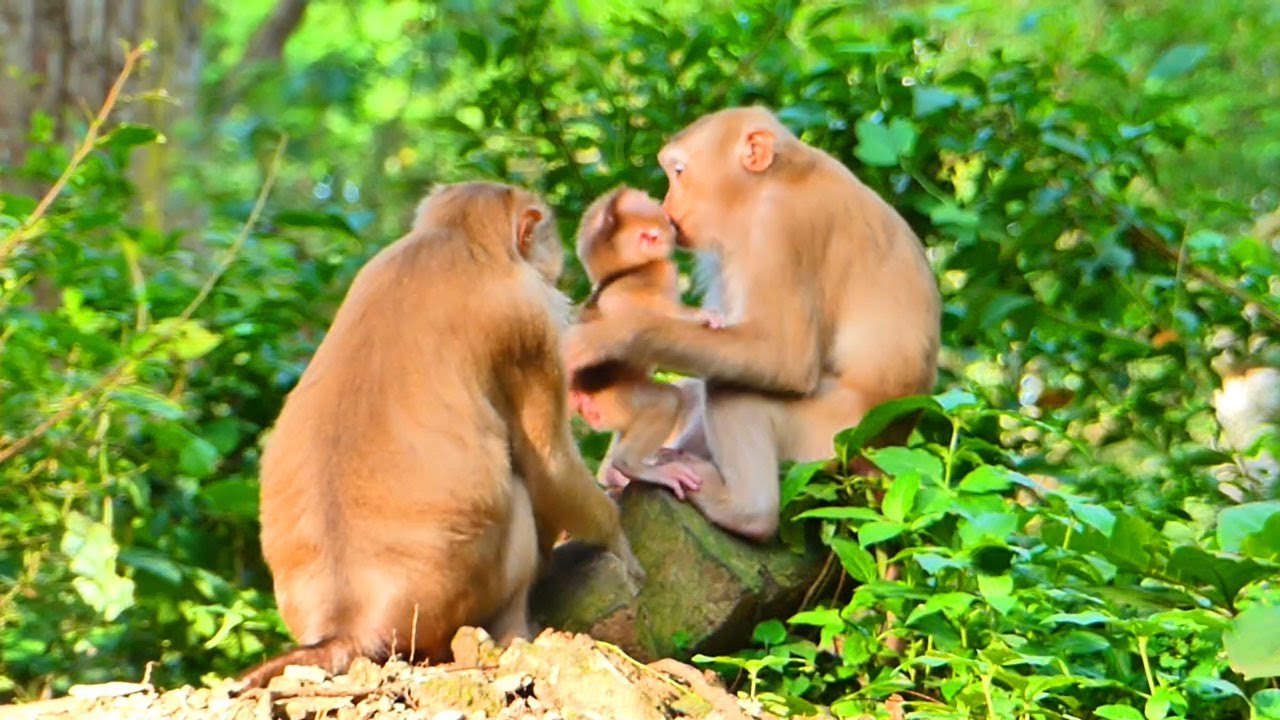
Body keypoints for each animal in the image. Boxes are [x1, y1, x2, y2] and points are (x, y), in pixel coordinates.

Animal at [235, 181, 642, 692]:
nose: (557, 257)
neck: (457, 237)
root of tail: (348, 626)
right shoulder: (529, 317)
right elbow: (548, 468)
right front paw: (617, 536)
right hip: (464, 594)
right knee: (519, 493)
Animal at [567, 186, 721, 500]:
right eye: (660, 219)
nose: (670, 217)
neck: (627, 271)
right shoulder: (656, 274)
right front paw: (700, 316)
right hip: (614, 399)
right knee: (666, 400)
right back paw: (628, 466)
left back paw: (613, 475)